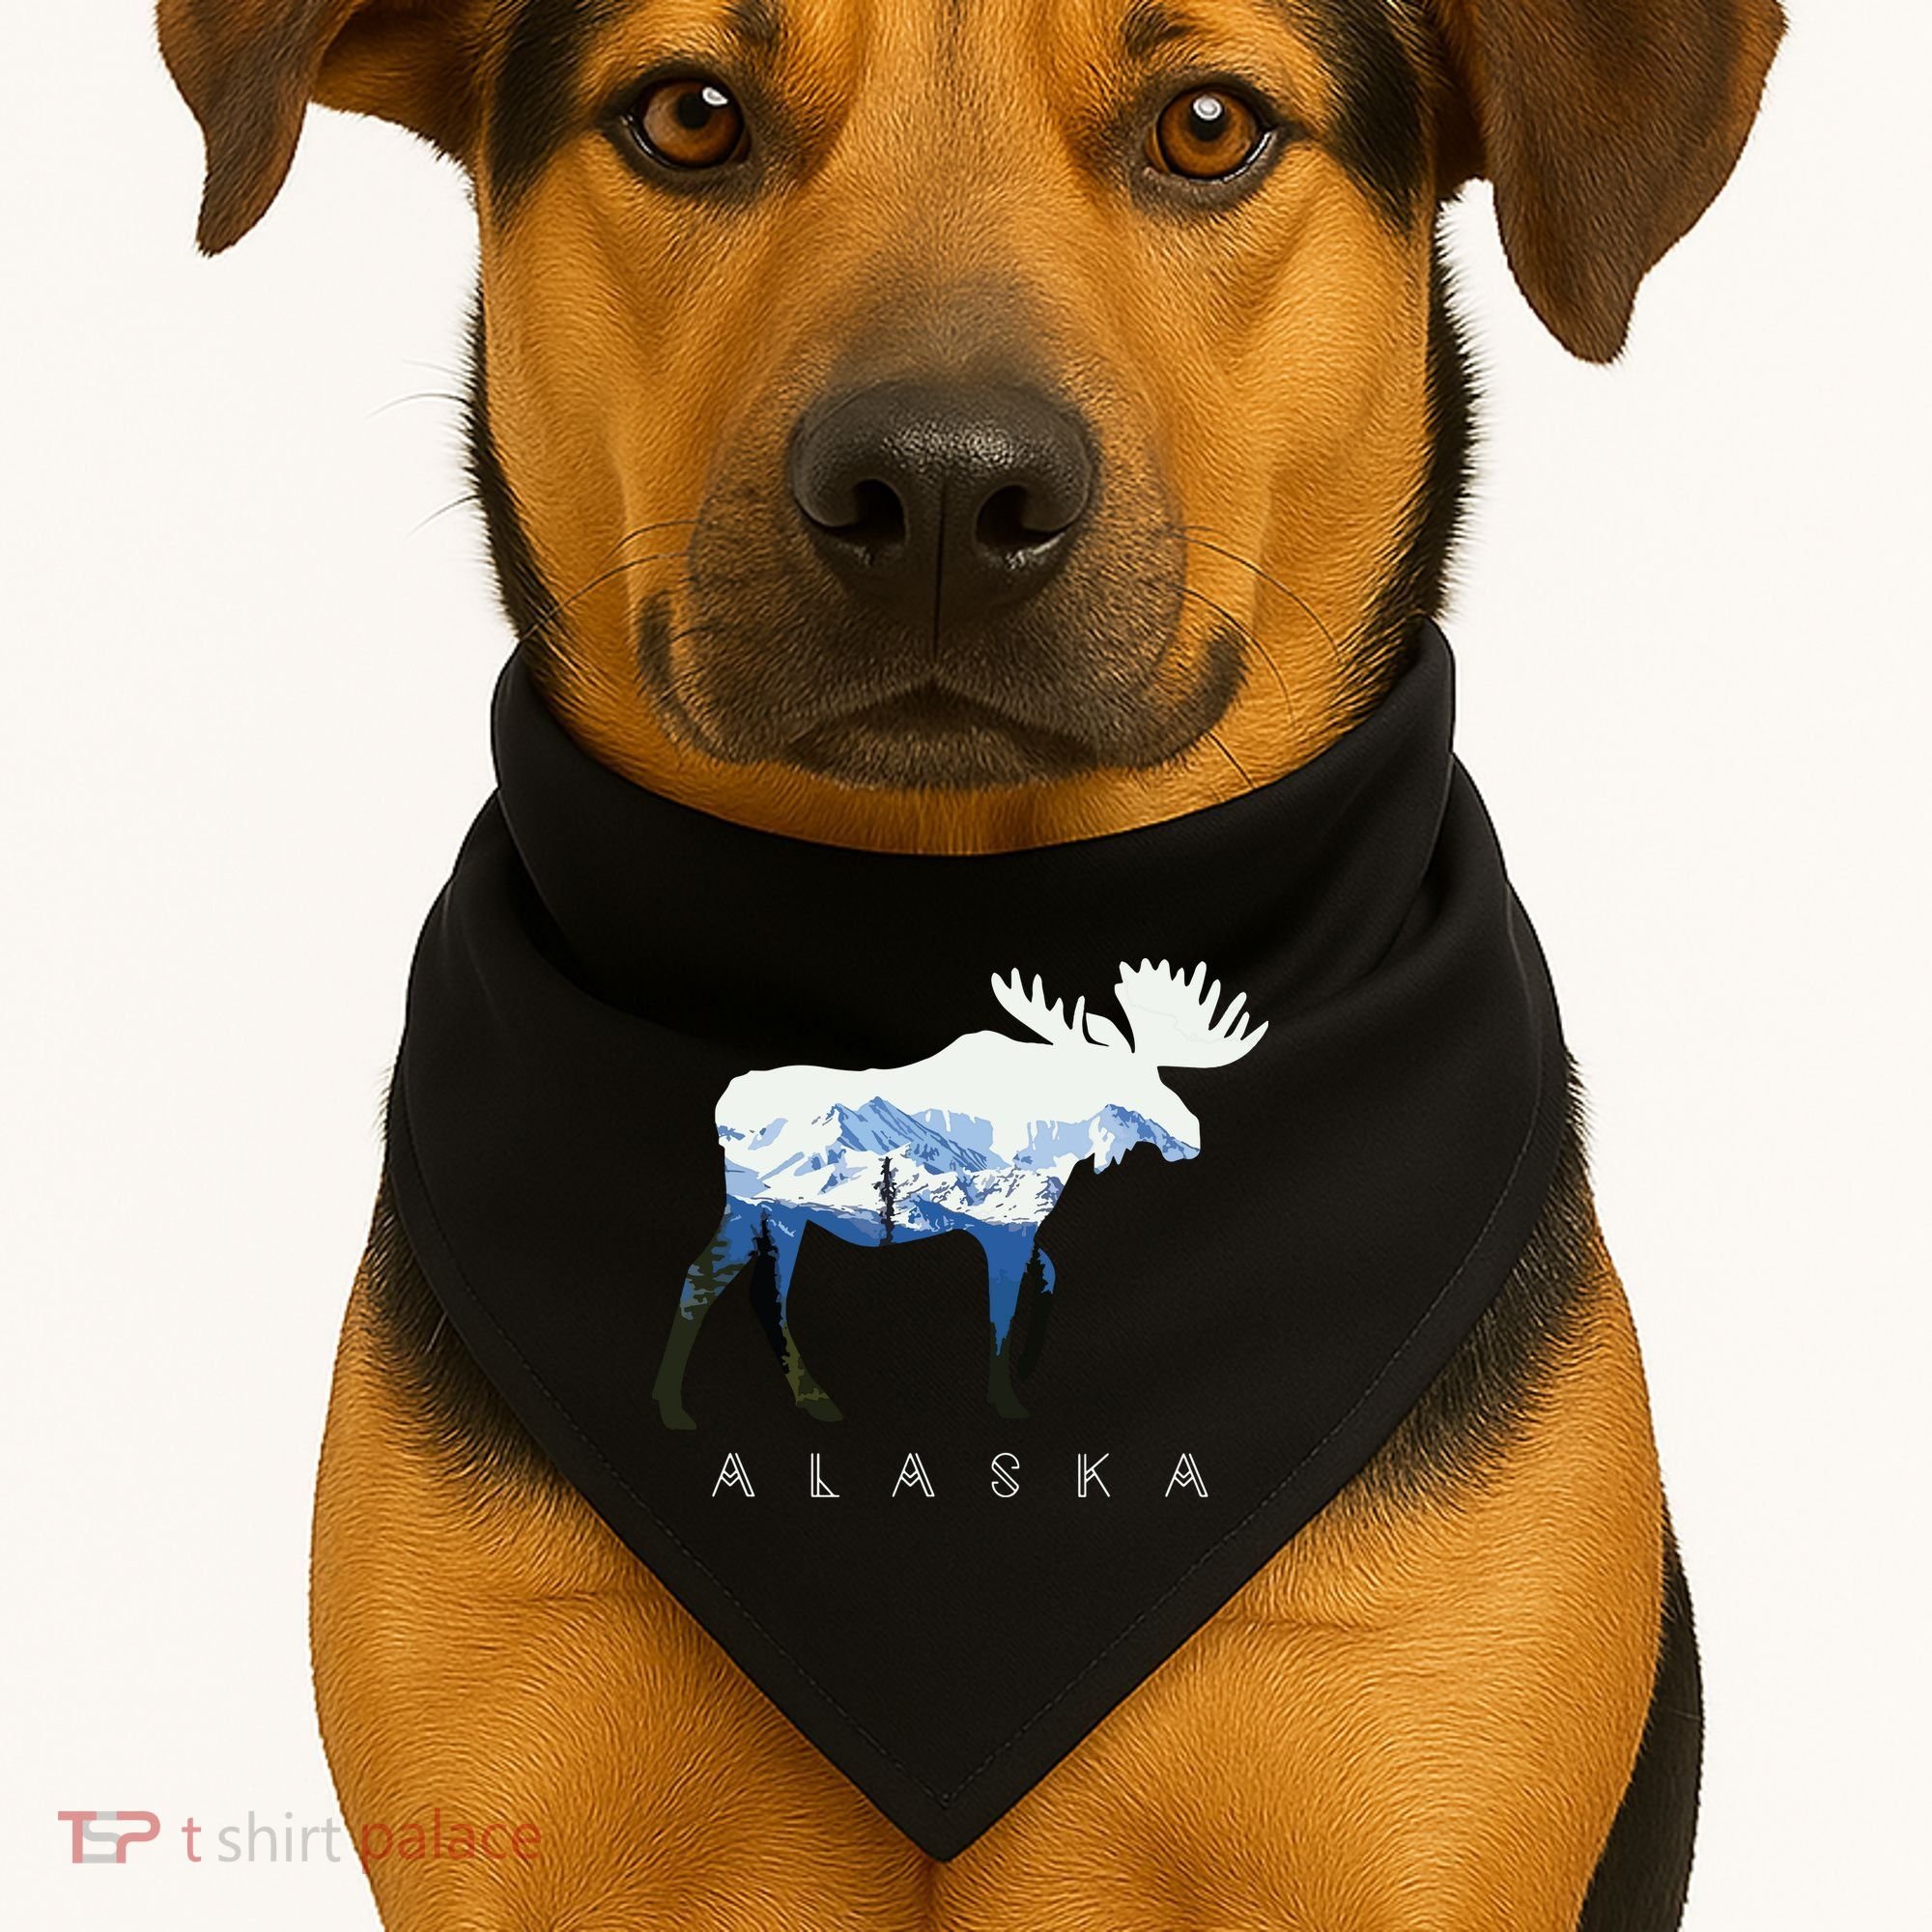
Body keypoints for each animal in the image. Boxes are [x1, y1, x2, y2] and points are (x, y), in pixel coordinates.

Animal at [651, 959, 1268, 1428]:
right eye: (1126, 1084)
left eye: (1160, 1076)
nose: (1193, 1135)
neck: (1063, 1136)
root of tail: (722, 1107)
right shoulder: (1007, 1223)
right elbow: (1002, 1312)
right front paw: (1008, 1401)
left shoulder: (1018, 1226)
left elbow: (1047, 1274)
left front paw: (1029, 1366)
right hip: (770, 1206)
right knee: (735, 1287)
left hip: (769, 1212)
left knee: (730, 1285)